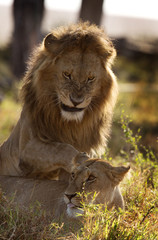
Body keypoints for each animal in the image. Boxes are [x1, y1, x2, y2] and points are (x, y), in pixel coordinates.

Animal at [0, 21, 117, 178]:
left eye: (90, 78)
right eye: (67, 74)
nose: (76, 101)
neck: (68, 123)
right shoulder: (25, 150)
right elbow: (61, 148)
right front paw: (81, 160)